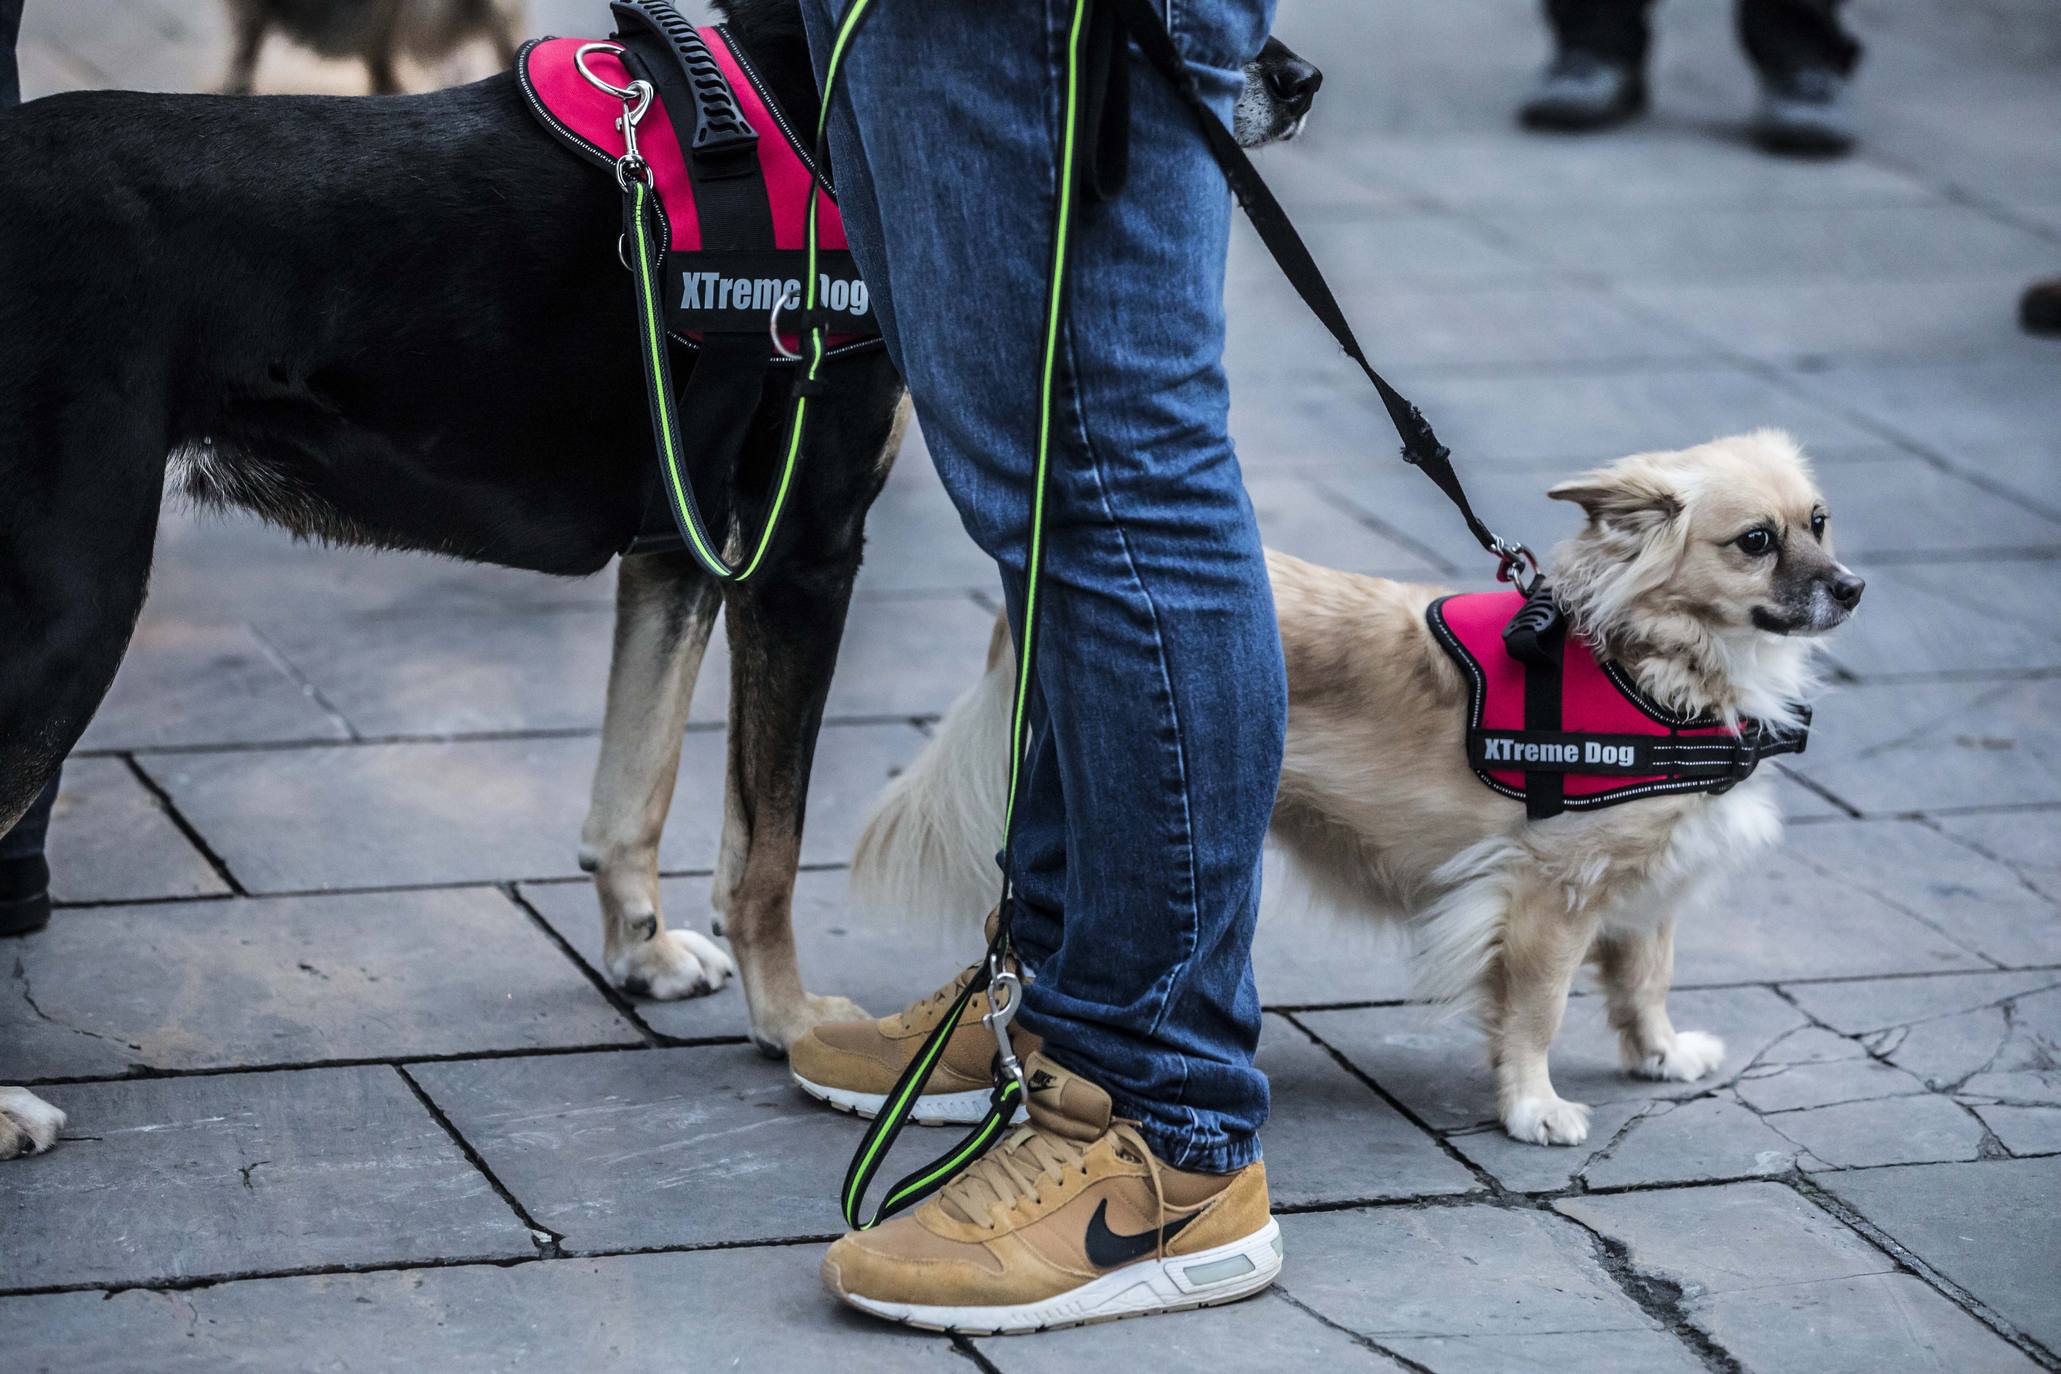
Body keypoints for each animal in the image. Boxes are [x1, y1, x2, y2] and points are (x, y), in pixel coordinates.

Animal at [0, 0, 1319, 1161]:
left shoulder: (682, 545)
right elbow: (769, 845)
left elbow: (633, 788)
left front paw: (639, 952)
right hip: (70, 605)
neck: (809, 102)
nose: (1300, 82)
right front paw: (791, 1024)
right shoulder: (803, 550)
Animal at [845, 432, 1863, 1153]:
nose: (1852, 589)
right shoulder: (1548, 894)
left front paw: (1658, 1054)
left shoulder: (1648, 886)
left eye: (1820, 522)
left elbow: (1644, 980)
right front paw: (1531, 1106)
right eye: (1755, 543)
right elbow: (1537, 1009)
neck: (1651, 668)